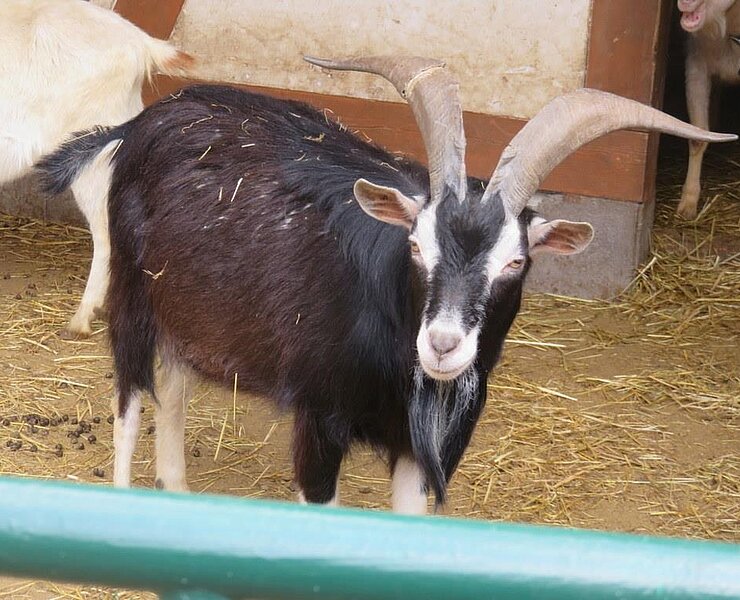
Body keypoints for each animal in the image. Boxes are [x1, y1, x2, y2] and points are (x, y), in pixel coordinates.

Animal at [38, 56, 735, 514]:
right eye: (417, 244)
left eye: (515, 263)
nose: (444, 345)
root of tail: (145, 121)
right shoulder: (319, 422)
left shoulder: (420, 448)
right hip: (133, 295)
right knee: (131, 396)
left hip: (191, 309)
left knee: (177, 384)